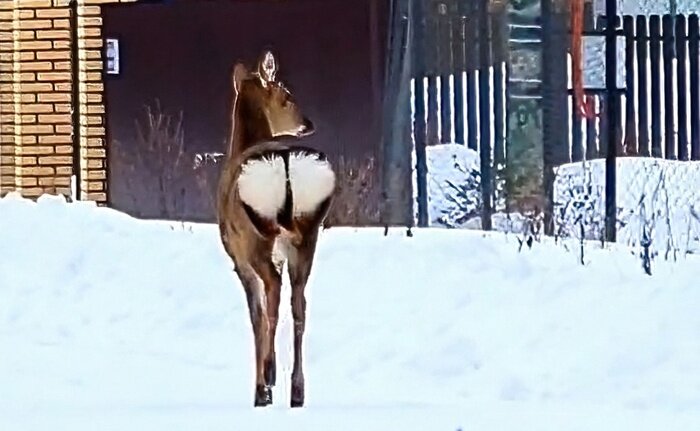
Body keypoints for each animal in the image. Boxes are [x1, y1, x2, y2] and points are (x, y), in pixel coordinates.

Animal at [217, 50, 338, 408]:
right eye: (288, 96)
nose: (308, 123)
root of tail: (284, 162)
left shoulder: (238, 258)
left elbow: (254, 317)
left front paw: (260, 389)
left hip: (257, 236)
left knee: (272, 295)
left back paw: (269, 377)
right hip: (308, 232)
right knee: (300, 304)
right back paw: (297, 390)